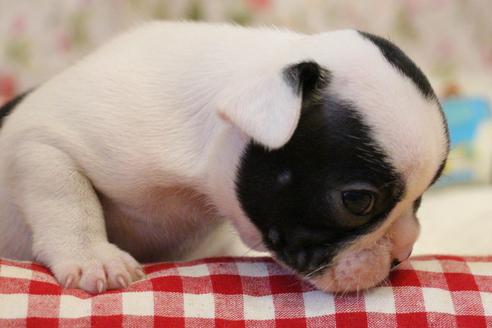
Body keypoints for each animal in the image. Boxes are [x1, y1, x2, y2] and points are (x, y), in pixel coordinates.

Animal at [0, 23, 448, 294]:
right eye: (357, 201)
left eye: (422, 197)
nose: (404, 253)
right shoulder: (41, 140)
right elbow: (68, 197)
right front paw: (93, 256)